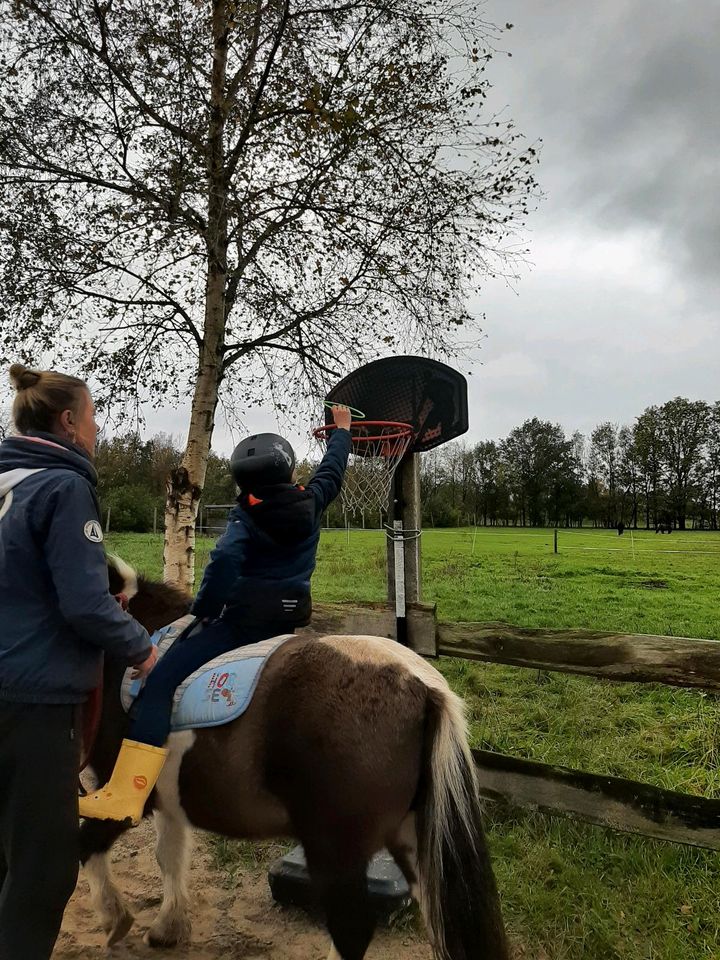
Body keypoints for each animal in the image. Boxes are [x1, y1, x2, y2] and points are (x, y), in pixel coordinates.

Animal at [81, 560, 510, 960]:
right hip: (415, 841)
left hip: (336, 848)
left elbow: (87, 846)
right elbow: (168, 855)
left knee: (351, 929)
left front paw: (114, 918)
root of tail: (422, 687)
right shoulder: (167, 799)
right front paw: (168, 928)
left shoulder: (122, 797)